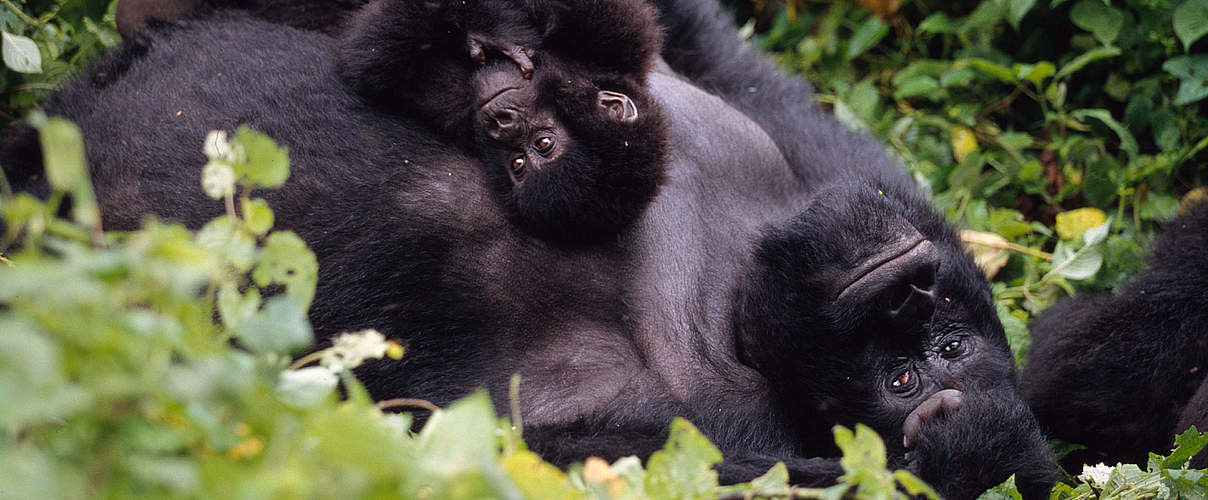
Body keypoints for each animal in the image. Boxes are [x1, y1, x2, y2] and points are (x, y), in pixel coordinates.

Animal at [340, 0, 666, 242]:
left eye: (518, 162)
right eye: (545, 144)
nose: (500, 123)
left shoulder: (457, 111)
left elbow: (374, 56)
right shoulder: (620, 40)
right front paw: (490, 26)